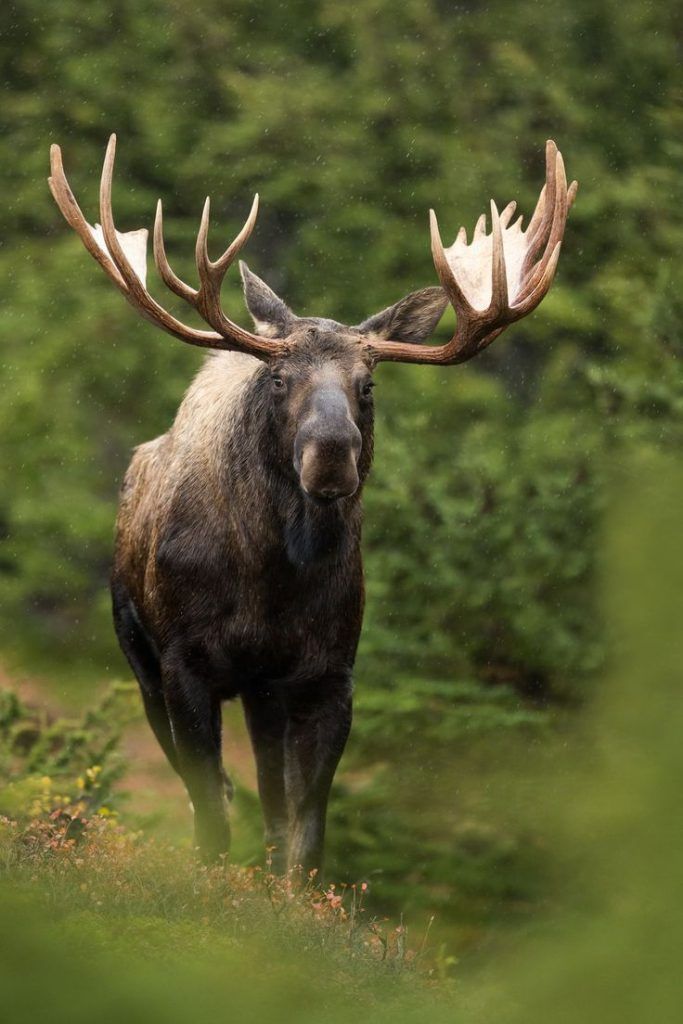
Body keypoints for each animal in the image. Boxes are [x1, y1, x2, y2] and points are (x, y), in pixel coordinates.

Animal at [48, 136, 576, 873]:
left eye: (368, 384)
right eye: (278, 377)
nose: (331, 453)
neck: (271, 583)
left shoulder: (326, 675)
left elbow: (305, 834)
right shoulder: (183, 662)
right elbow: (211, 816)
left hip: (262, 694)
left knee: (270, 800)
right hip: (138, 655)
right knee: (205, 785)